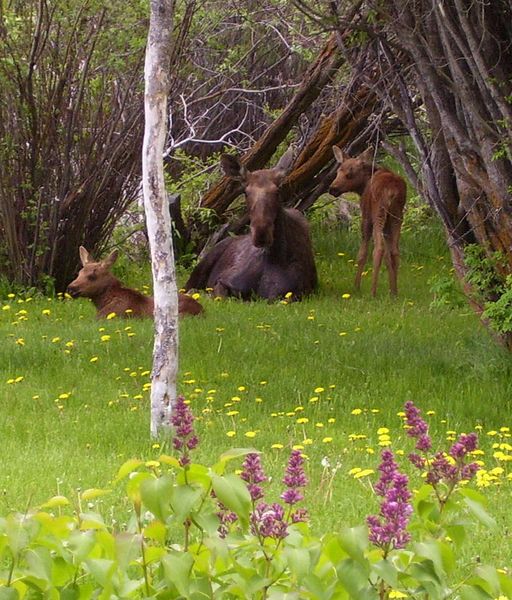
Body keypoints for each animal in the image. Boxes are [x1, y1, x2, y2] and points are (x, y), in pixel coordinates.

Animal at [186, 148, 318, 302]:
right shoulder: (223, 280)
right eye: (245, 192)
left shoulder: (296, 294)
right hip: (205, 261)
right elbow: (218, 295)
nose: (261, 234)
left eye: (277, 191)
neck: (274, 258)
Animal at [328, 145, 408, 296]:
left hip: (378, 214)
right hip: (396, 216)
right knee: (394, 251)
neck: (362, 188)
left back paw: (372, 292)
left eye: (349, 174)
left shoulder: (365, 217)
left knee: (379, 248)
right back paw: (394, 293)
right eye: (337, 172)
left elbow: (362, 253)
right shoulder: (389, 223)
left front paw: (356, 286)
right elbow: (389, 257)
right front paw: (392, 289)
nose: (332, 189)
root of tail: (392, 190)